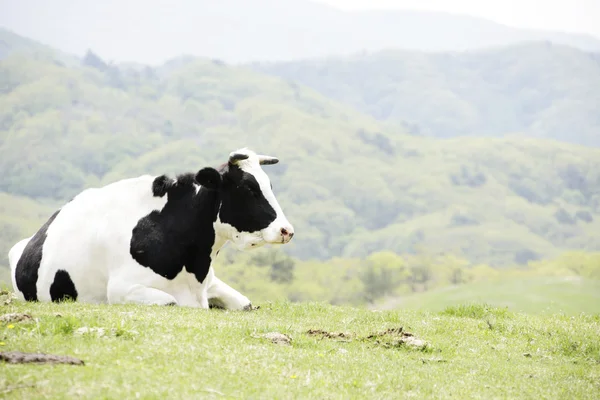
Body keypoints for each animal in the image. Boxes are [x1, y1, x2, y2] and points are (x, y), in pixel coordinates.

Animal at [7, 148, 292, 310]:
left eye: (269, 185)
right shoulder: (121, 289)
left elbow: (246, 304)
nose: (286, 230)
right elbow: (170, 301)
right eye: (248, 188)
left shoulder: (210, 283)